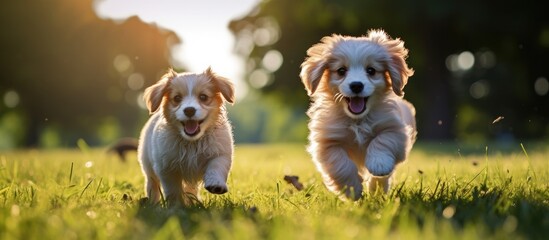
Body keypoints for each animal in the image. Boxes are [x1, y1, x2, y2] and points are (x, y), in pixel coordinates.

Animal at [138, 67, 234, 206]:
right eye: (177, 98)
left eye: (203, 97)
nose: (189, 110)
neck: (192, 142)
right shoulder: (166, 168)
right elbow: (173, 190)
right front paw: (176, 206)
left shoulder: (220, 153)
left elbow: (216, 167)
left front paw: (216, 184)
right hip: (148, 167)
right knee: (152, 185)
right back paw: (153, 204)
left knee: (190, 189)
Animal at [300, 29, 416, 200]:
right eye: (341, 71)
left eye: (371, 70)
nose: (356, 85)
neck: (357, 120)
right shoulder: (327, 143)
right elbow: (341, 165)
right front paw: (352, 189)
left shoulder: (396, 131)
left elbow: (382, 140)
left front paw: (379, 164)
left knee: (381, 178)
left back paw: (377, 191)